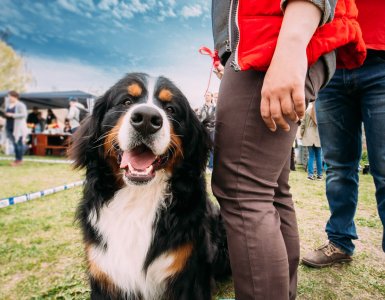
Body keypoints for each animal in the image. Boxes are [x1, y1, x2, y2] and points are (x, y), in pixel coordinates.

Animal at [70, 73, 228, 300]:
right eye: (126, 101)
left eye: (171, 108)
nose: (146, 119)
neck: (138, 197)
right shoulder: (104, 272)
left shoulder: (189, 276)